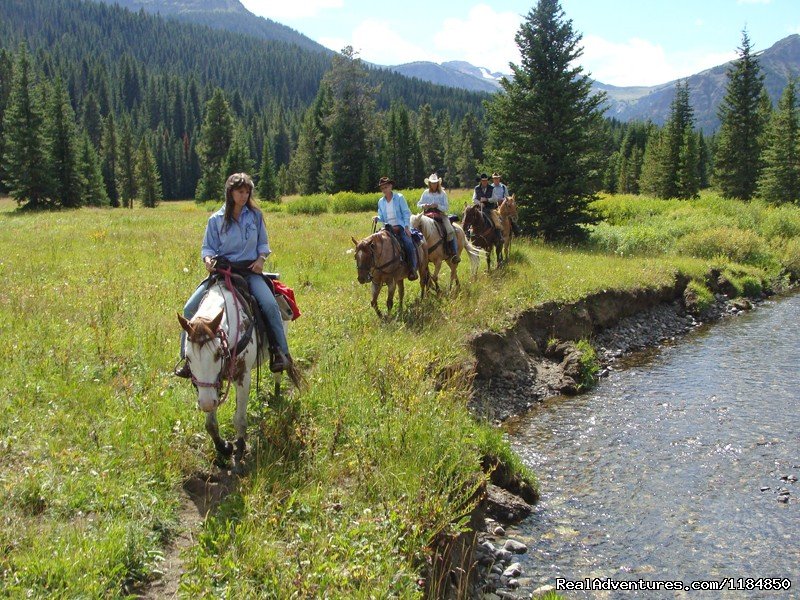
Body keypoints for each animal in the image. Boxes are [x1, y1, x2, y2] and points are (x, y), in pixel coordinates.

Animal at [177, 276, 298, 468]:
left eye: (218, 353)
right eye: (187, 357)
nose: (206, 403)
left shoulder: (242, 378)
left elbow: (239, 419)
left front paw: (239, 450)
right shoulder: (209, 386)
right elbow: (210, 424)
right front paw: (224, 448)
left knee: (278, 373)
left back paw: (277, 395)